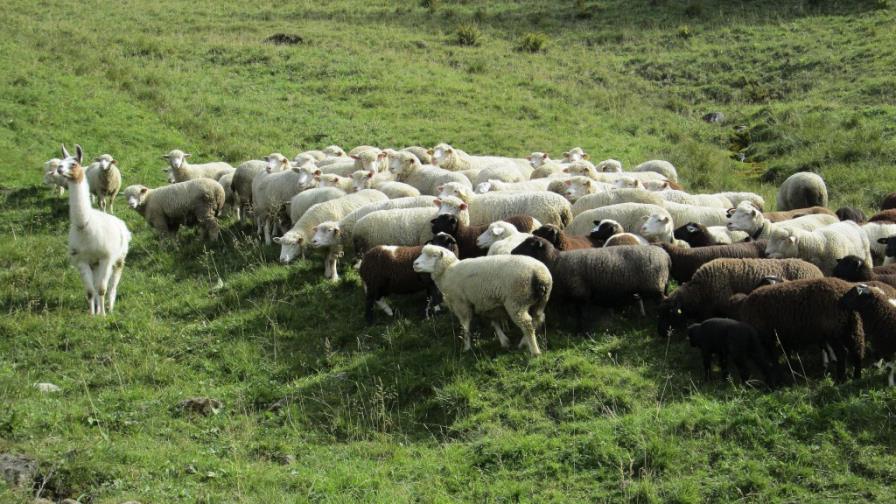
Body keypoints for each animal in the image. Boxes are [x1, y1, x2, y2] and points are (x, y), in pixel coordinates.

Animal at [56, 145, 130, 316]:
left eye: (74, 164)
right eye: (61, 161)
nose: (59, 168)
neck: (85, 225)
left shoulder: (106, 257)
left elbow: (102, 288)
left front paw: (102, 315)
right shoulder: (82, 260)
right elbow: (90, 291)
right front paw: (92, 314)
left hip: (119, 258)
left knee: (112, 285)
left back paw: (110, 306)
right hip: (94, 263)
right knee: (96, 286)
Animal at [413, 245, 552, 355]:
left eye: (434, 255)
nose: (415, 264)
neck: (448, 271)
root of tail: (539, 274)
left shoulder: (461, 304)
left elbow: (465, 327)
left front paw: (467, 348)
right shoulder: (486, 303)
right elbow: (494, 322)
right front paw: (504, 341)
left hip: (516, 301)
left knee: (527, 324)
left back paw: (535, 351)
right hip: (540, 301)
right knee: (537, 319)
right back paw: (524, 343)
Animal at [511, 236, 671, 329]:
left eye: (529, 244)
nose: (512, 252)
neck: (555, 261)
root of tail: (666, 256)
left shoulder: (580, 294)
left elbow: (580, 314)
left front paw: (581, 331)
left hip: (655, 286)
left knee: (664, 302)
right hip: (662, 285)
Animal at [734, 278, 865, 382]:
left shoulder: (767, 337)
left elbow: (773, 357)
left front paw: (778, 373)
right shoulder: (780, 337)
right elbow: (782, 355)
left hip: (834, 330)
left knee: (842, 353)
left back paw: (840, 379)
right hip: (851, 327)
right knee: (857, 350)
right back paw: (856, 377)